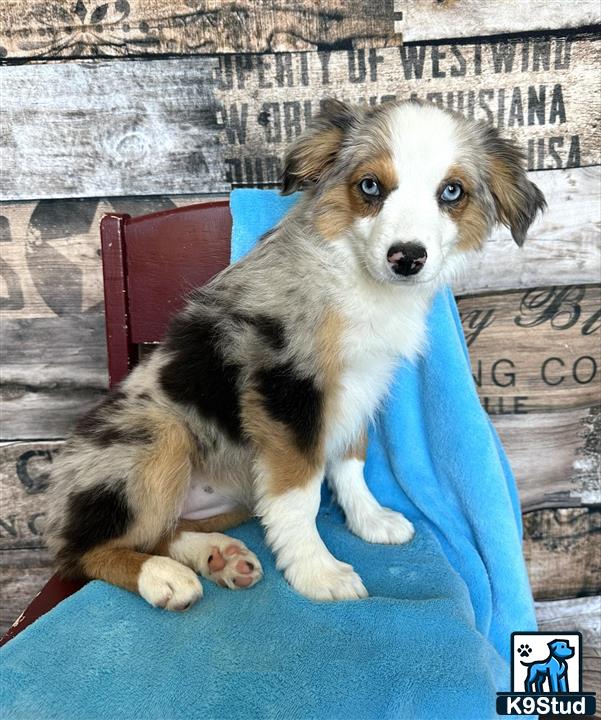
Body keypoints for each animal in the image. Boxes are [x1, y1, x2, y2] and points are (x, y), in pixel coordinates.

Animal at [45, 100, 544, 608]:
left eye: (451, 191)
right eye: (370, 186)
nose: (406, 258)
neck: (356, 278)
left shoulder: (360, 386)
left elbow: (350, 460)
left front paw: (370, 519)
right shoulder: (287, 384)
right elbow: (299, 493)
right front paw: (317, 571)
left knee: (163, 531)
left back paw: (218, 556)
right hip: (157, 435)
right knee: (84, 553)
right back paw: (162, 578)